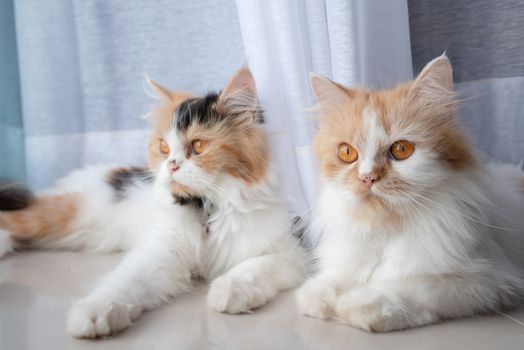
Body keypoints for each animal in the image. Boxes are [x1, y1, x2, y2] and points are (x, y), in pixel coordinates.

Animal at [0, 67, 308, 338]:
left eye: (198, 146)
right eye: (164, 147)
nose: (171, 165)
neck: (206, 208)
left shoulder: (288, 252)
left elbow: (252, 269)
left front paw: (227, 292)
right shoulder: (162, 251)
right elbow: (124, 282)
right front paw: (93, 314)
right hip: (63, 213)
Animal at [296, 54, 524, 330]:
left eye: (401, 149)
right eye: (346, 153)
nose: (367, 177)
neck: (386, 230)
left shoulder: (492, 279)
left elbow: (414, 287)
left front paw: (360, 303)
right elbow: (339, 276)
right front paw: (319, 294)